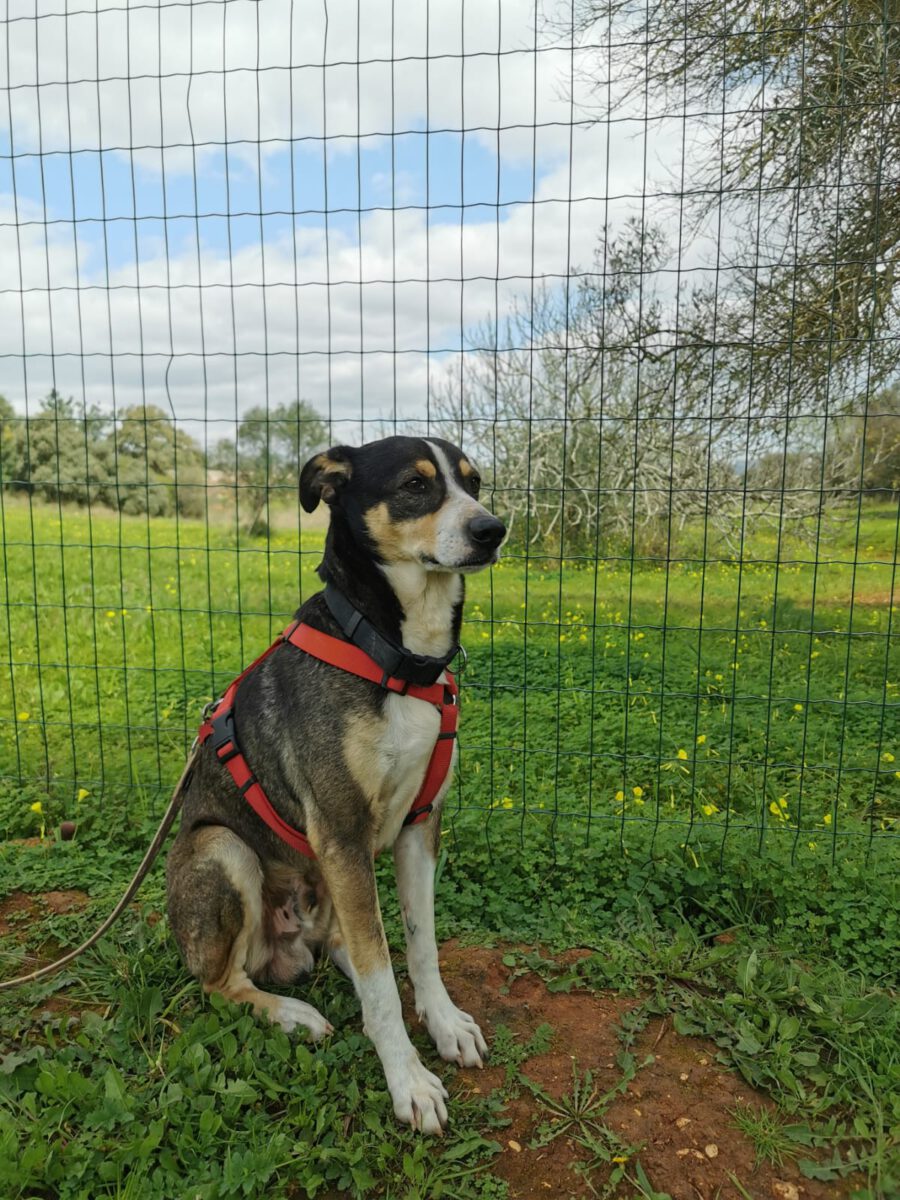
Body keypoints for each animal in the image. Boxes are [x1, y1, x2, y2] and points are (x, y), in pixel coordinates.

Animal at [166, 435, 506, 1134]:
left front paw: (443, 1022)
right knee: (222, 985)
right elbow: (379, 977)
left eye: (475, 483)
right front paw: (408, 1079)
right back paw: (292, 1014)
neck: (398, 657)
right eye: (414, 485)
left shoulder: (420, 826)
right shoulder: (343, 833)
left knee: (348, 943)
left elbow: (419, 944)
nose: (494, 530)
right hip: (222, 849)